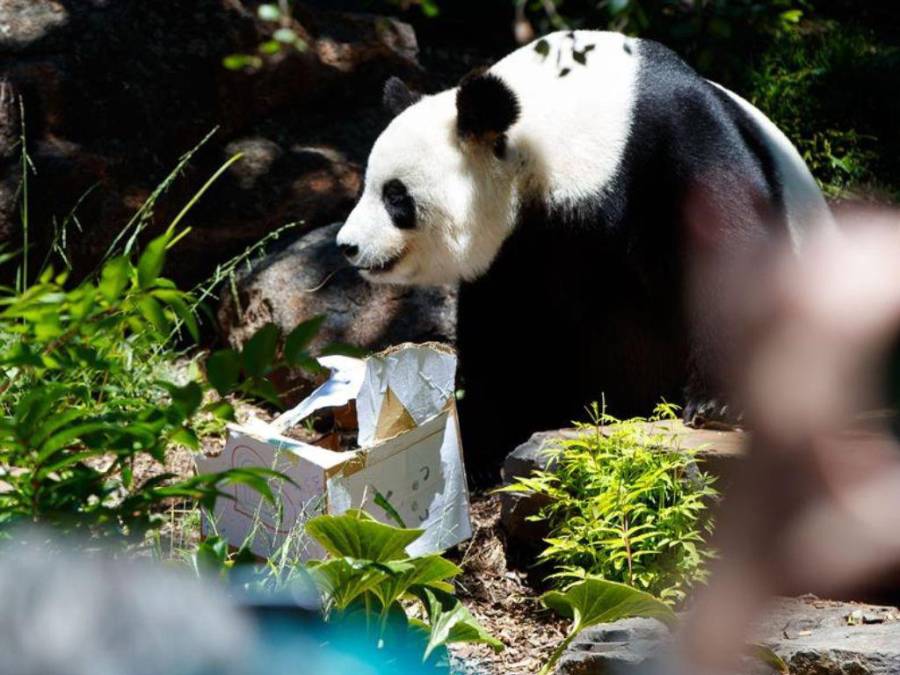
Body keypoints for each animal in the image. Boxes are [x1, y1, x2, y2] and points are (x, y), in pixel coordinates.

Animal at [334, 30, 832, 480]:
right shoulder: (517, 249)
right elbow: (505, 334)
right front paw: (480, 449)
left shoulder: (675, 137)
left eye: (396, 196)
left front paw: (719, 403)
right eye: (368, 187)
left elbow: (729, 253)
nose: (347, 245)